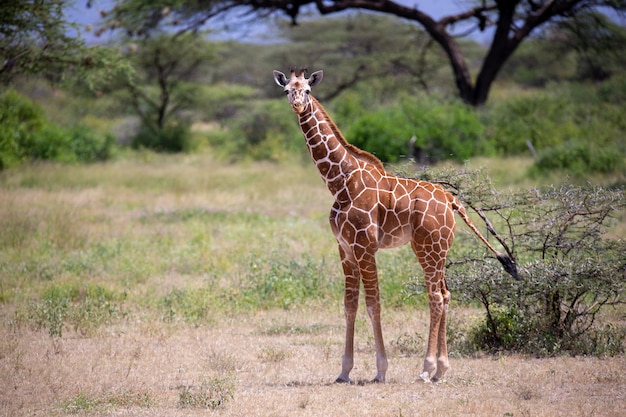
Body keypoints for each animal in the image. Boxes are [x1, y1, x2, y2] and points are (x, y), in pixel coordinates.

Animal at [270, 68, 516, 384]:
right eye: (287, 90)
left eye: (308, 90)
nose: (298, 104)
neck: (340, 182)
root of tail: (453, 200)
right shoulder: (344, 247)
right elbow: (349, 304)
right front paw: (344, 371)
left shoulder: (365, 246)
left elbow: (373, 303)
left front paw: (381, 370)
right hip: (438, 249)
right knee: (446, 294)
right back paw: (442, 369)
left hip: (428, 247)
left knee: (436, 297)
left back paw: (426, 369)